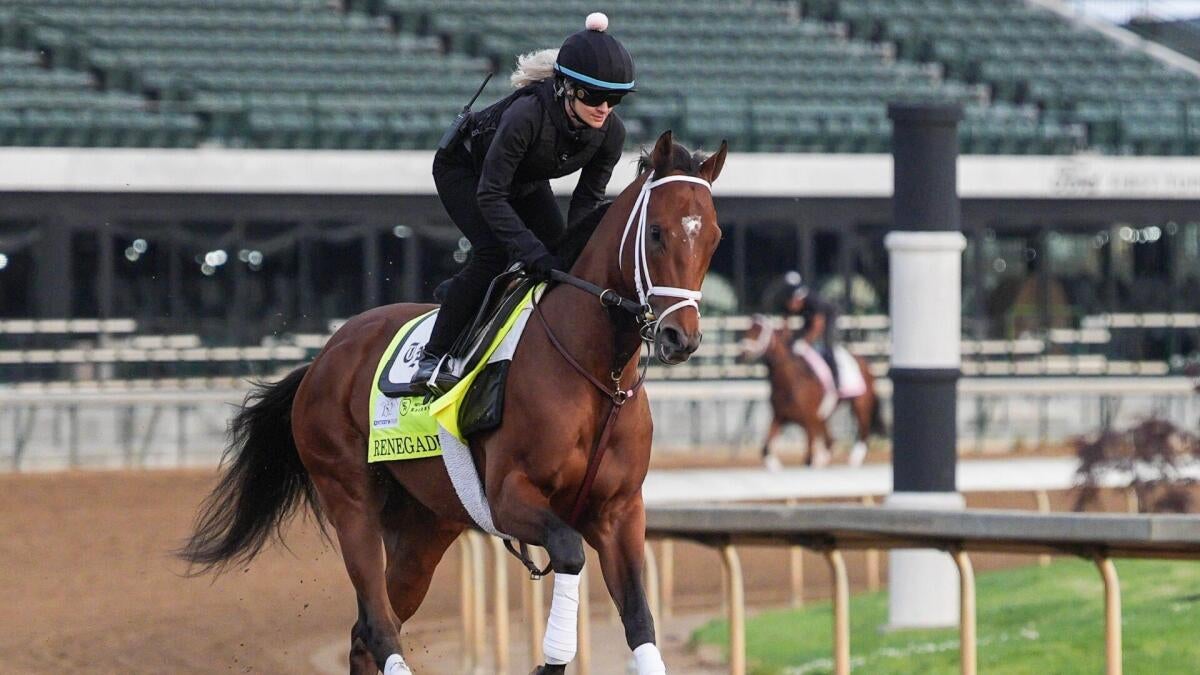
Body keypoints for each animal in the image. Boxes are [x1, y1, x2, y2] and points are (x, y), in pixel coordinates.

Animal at [178, 130, 727, 675]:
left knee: (364, 634)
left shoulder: (619, 513)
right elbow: (570, 553)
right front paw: (549, 662)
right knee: (378, 625)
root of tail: (324, 357)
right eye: (656, 232)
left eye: (714, 238)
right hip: (348, 497)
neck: (598, 377)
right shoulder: (508, 497)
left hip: (424, 527)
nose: (682, 338)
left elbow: (639, 618)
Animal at [739, 314, 881, 470]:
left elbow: (808, 458)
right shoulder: (780, 417)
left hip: (861, 404)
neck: (789, 383)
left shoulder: (809, 422)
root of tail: (865, 363)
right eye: (747, 330)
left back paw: (854, 461)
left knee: (863, 434)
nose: (742, 354)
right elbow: (765, 449)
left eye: (759, 332)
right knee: (830, 441)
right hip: (823, 417)